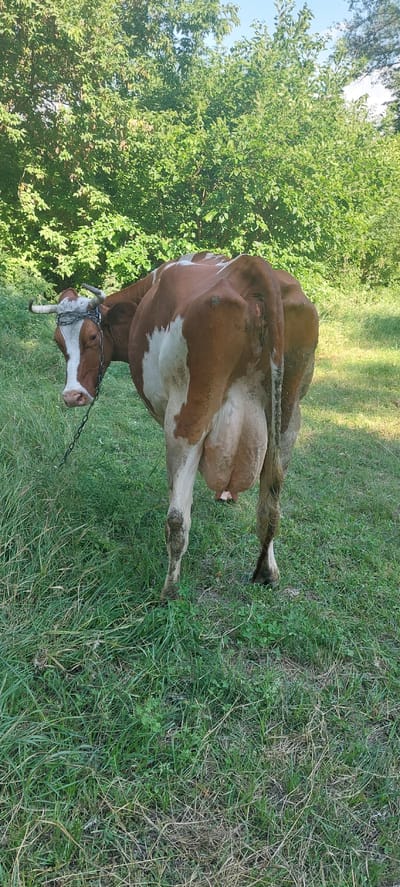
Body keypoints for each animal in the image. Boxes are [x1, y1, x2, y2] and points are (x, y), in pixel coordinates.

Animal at [29, 252, 319, 600]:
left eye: (92, 337)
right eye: (58, 342)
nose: (73, 396)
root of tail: (250, 267)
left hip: (184, 423)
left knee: (178, 520)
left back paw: (169, 590)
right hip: (288, 421)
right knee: (271, 503)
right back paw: (267, 571)